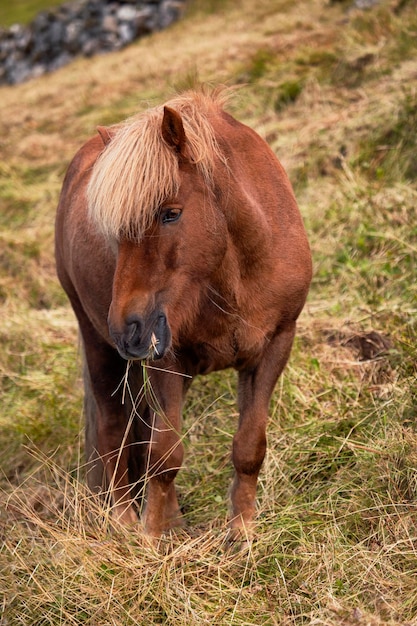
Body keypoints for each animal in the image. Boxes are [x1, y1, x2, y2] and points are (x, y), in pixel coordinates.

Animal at [54, 88, 308, 536]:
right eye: (115, 231)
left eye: (171, 213)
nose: (127, 328)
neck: (234, 273)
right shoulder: (166, 361)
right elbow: (165, 456)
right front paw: (150, 539)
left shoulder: (275, 345)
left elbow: (248, 447)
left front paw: (241, 534)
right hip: (100, 346)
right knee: (113, 430)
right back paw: (125, 522)